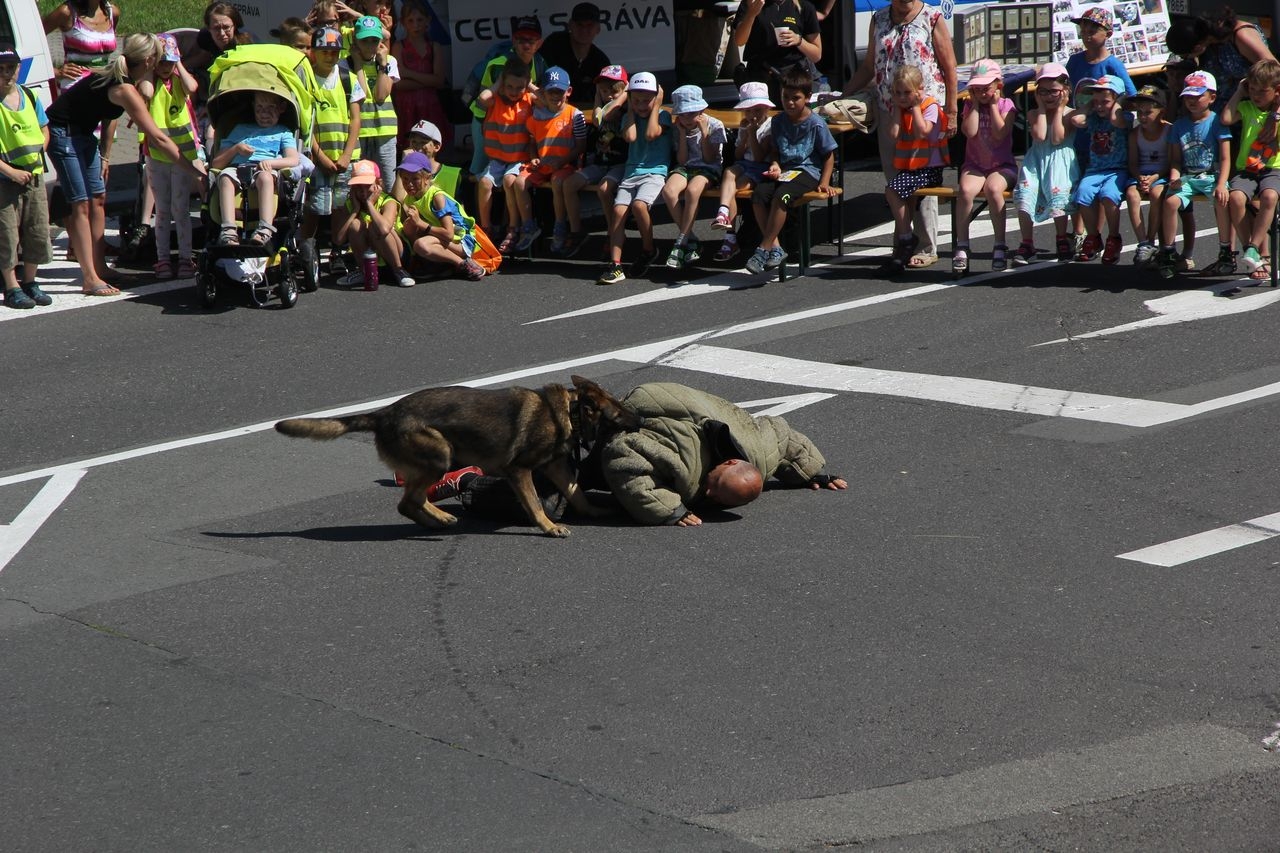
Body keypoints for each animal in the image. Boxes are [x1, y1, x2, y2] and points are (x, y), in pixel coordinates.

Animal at [279, 376, 640, 535]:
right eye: (620, 411)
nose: (642, 419)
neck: (570, 412)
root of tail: (383, 414)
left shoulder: (557, 468)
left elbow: (576, 492)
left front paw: (592, 512)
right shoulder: (519, 470)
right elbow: (536, 505)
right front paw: (549, 526)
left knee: (409, 502)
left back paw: (435, 520)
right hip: (442, 454)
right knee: (409, 500)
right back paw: (439, 519)